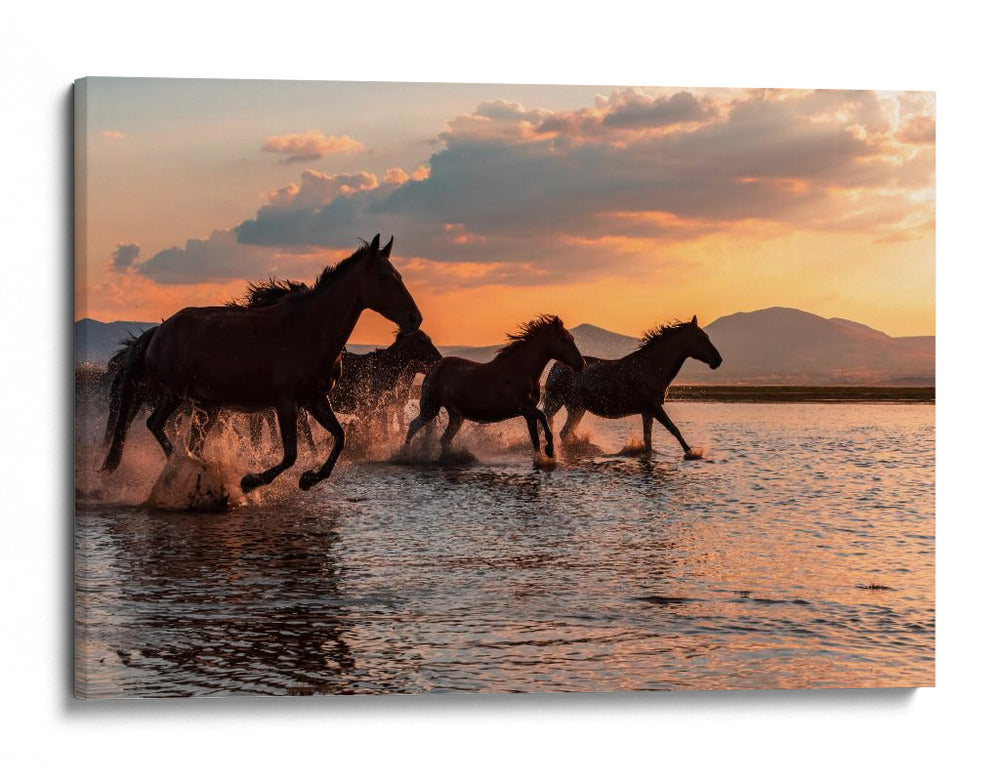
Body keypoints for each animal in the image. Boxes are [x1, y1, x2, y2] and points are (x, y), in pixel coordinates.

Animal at [102, 234, 422, 492]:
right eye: (384, 277)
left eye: (399, 275)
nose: (414, 318)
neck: (309, 329)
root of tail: (158, 331)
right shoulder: (285, 401)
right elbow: (290, 453)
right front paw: (250, 480)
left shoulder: (315, 399)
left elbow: (339, 437)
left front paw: (309, 478)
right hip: (174, 394)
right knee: (155, 424)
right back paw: (189, 467)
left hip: (207, 405)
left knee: (191, 440)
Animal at [404, 315, 584, 459]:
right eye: (564, 339)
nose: (582, 364)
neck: (521, 370)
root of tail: (433, 368)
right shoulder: (523, 408)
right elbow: (543, 416)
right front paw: (550, 449)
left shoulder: (528, 414)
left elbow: (535, 440)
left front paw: (544, 455)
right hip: (430, 408)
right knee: (413, 426)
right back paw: (404, 454)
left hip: (456, 416)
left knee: (444, 439)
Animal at [542, 316, 722, 459]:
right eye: (702, 338)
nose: (718, 360)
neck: (652, 367)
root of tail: (556, 367)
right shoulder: (655, 407)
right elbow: (674, 429)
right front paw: (692, 453)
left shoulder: (647, 411)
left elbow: (648, 441)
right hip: (563, 404)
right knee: (560, 431)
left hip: (576, 408)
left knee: (563, 432)